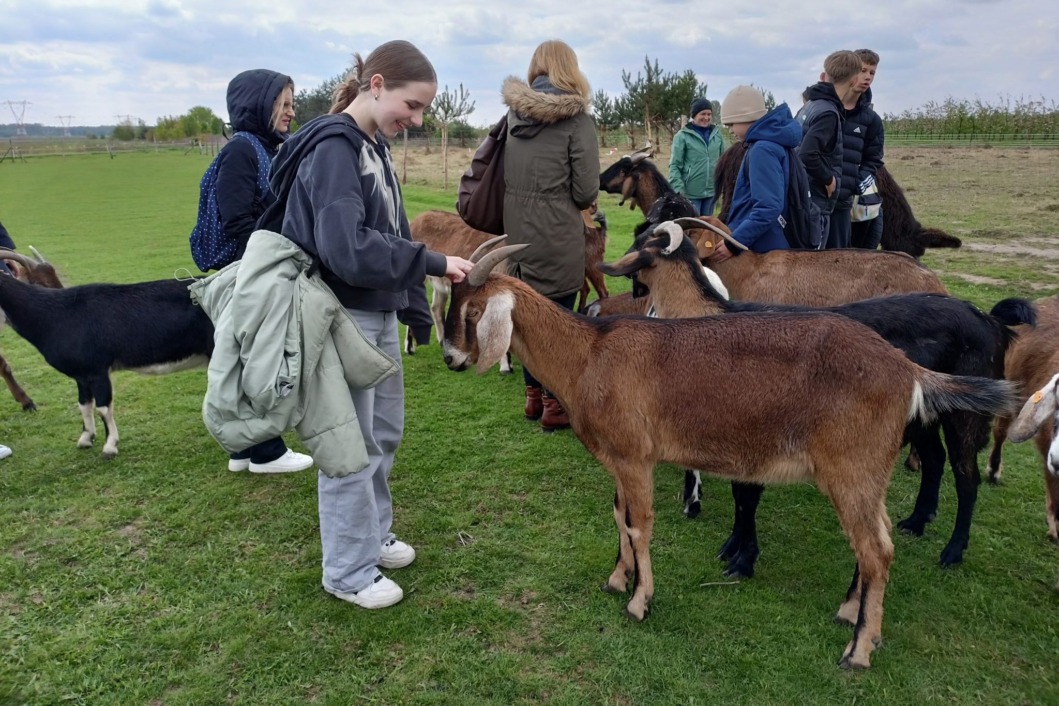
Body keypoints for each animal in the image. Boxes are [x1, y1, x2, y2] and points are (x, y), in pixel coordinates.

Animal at [440, 236, 1016, 668]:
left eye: (472, 310)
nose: (448, 359)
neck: (589, 354)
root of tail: (906, 370)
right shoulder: (617, 462)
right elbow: (619, 517)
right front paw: (617, 579)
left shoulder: (635, 457)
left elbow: (640, 525)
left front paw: (640, 602)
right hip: (868, 472)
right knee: (880, 540)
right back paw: (850, 613)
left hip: (851, 468)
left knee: (877, 549)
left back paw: (858, 651)